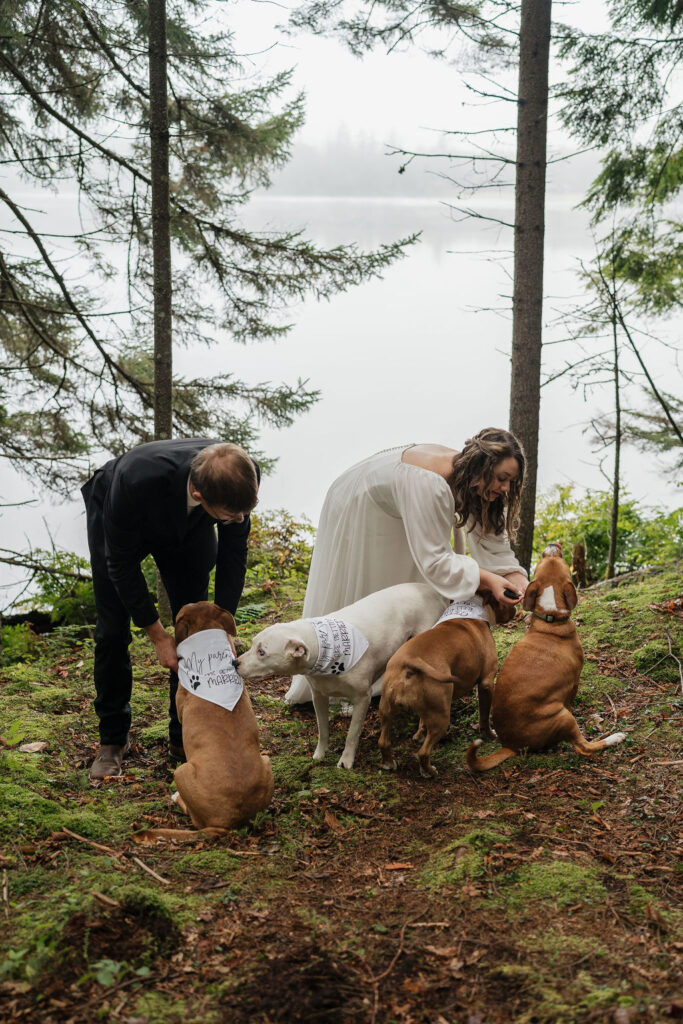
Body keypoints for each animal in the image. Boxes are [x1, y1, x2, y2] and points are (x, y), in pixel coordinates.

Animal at [235, 585, 448, 770]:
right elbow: (322, 730)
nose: (234, 662)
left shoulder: (362, 698)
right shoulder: (319, 696)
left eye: (261, 652)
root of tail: (430, 588)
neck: (323, 648)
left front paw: (346, 761)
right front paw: (320, 754)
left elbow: (352, 734)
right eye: (252, 644)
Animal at [376, 593, 516, 774]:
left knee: (383, 741)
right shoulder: (486, 683)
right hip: (441, 717)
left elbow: (422, 721)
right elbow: (484, 717)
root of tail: (408, 665)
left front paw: (420, 733)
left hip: (386, 711)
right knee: (423, 752)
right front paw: (490, 735)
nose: (516, 607)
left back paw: (389, 762)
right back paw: (428, 771)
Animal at [466, 544, 626, 770]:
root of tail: (511, 745)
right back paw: (614, 738)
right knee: (584, 747)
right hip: (564, 718)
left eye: (544, 560)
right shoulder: (574, 682)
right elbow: (571, 701)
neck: (551, 618)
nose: (553, 546)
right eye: (560, 558)